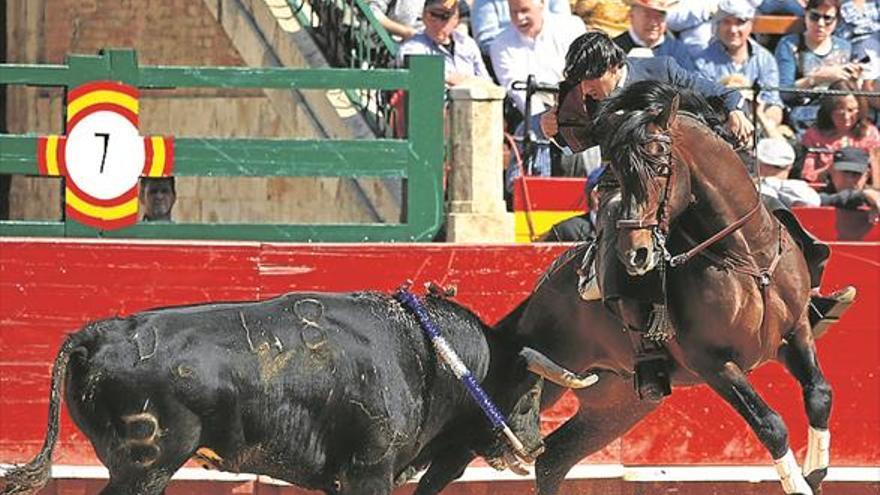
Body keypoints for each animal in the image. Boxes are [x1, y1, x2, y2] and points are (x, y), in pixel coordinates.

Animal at [1, 290, 592, 495]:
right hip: (144, 468)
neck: (427, 355)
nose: (536, 447)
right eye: (528, 394)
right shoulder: (369, 473)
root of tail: (96, 333)